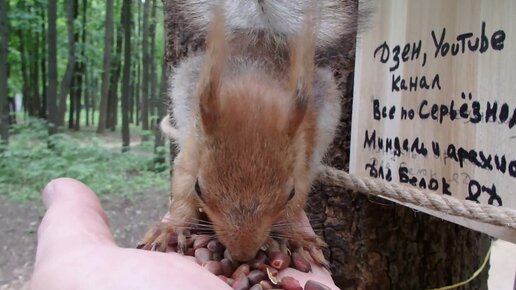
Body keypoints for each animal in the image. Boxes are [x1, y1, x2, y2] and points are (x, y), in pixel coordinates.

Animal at [137, 0, 360, 266]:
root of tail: (262, 34)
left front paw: (296, 235)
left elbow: (297, 204)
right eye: (199, 188)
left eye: (290, 193)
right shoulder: (191, 150)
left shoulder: (303, 165)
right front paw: (172, 227)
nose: (243, 255)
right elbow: (181, 188)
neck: (254, 86)